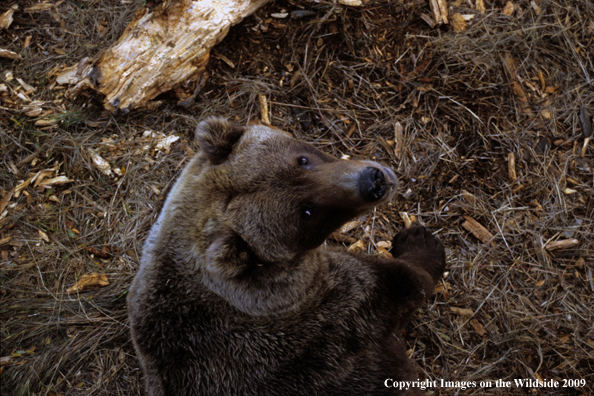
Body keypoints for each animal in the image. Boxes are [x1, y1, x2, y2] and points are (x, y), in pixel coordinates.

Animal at [127, 117, 442, 396]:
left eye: (302, 159)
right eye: (307, 212)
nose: (373, 182)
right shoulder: (340, 308)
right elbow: (408, 282)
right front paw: (420, 241)